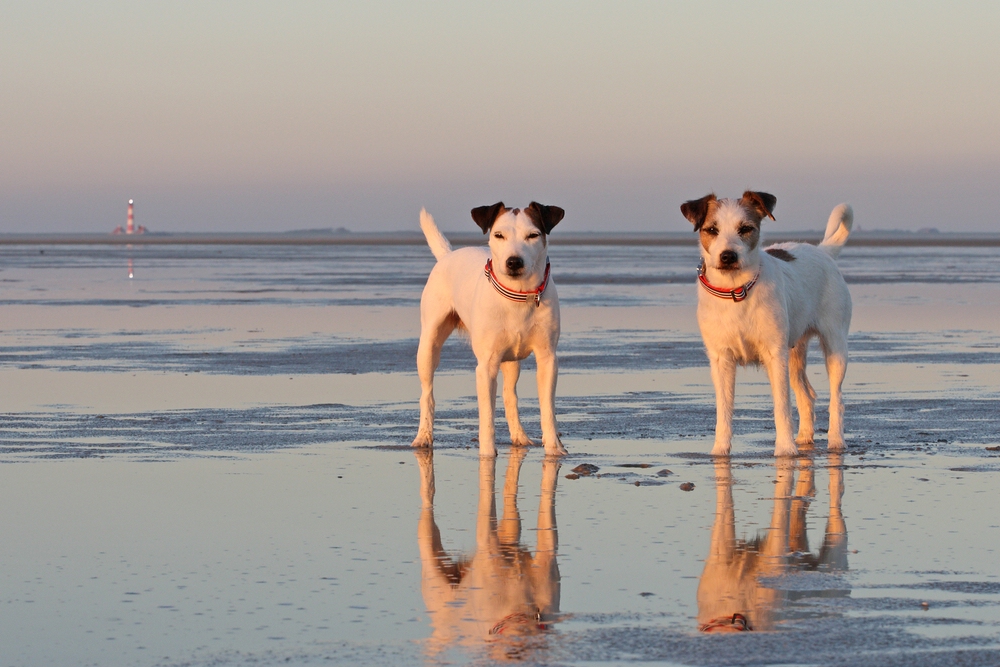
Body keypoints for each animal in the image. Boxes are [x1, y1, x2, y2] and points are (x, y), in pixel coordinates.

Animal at [414, 204, 572, 460]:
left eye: (533, 235)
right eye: (499, 235)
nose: (514, 262)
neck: (519, 296)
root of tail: (448, 255)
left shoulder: (548, 359)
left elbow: (548, 408)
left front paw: (554, 448)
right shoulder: (486, 366)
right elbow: (487, 414)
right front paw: (487, 454)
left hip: (511, 360)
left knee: (509, 395)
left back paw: (520, 436)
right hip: (429, 345)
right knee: (427, 394)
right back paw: (423, 437)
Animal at [684, 190, 856, 456]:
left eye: (745, 228)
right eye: (712, 229)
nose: (728, 256)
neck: (737, 290)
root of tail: (823, 251)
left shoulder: (775, 355)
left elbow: (782, 406)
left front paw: (785, 449)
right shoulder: (722, 360)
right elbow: (724, 409)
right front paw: (720, 450)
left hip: (834, 346)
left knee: (836, 398)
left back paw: (836, 441)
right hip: (794, 353)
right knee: (806, 395)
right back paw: (804, 437)